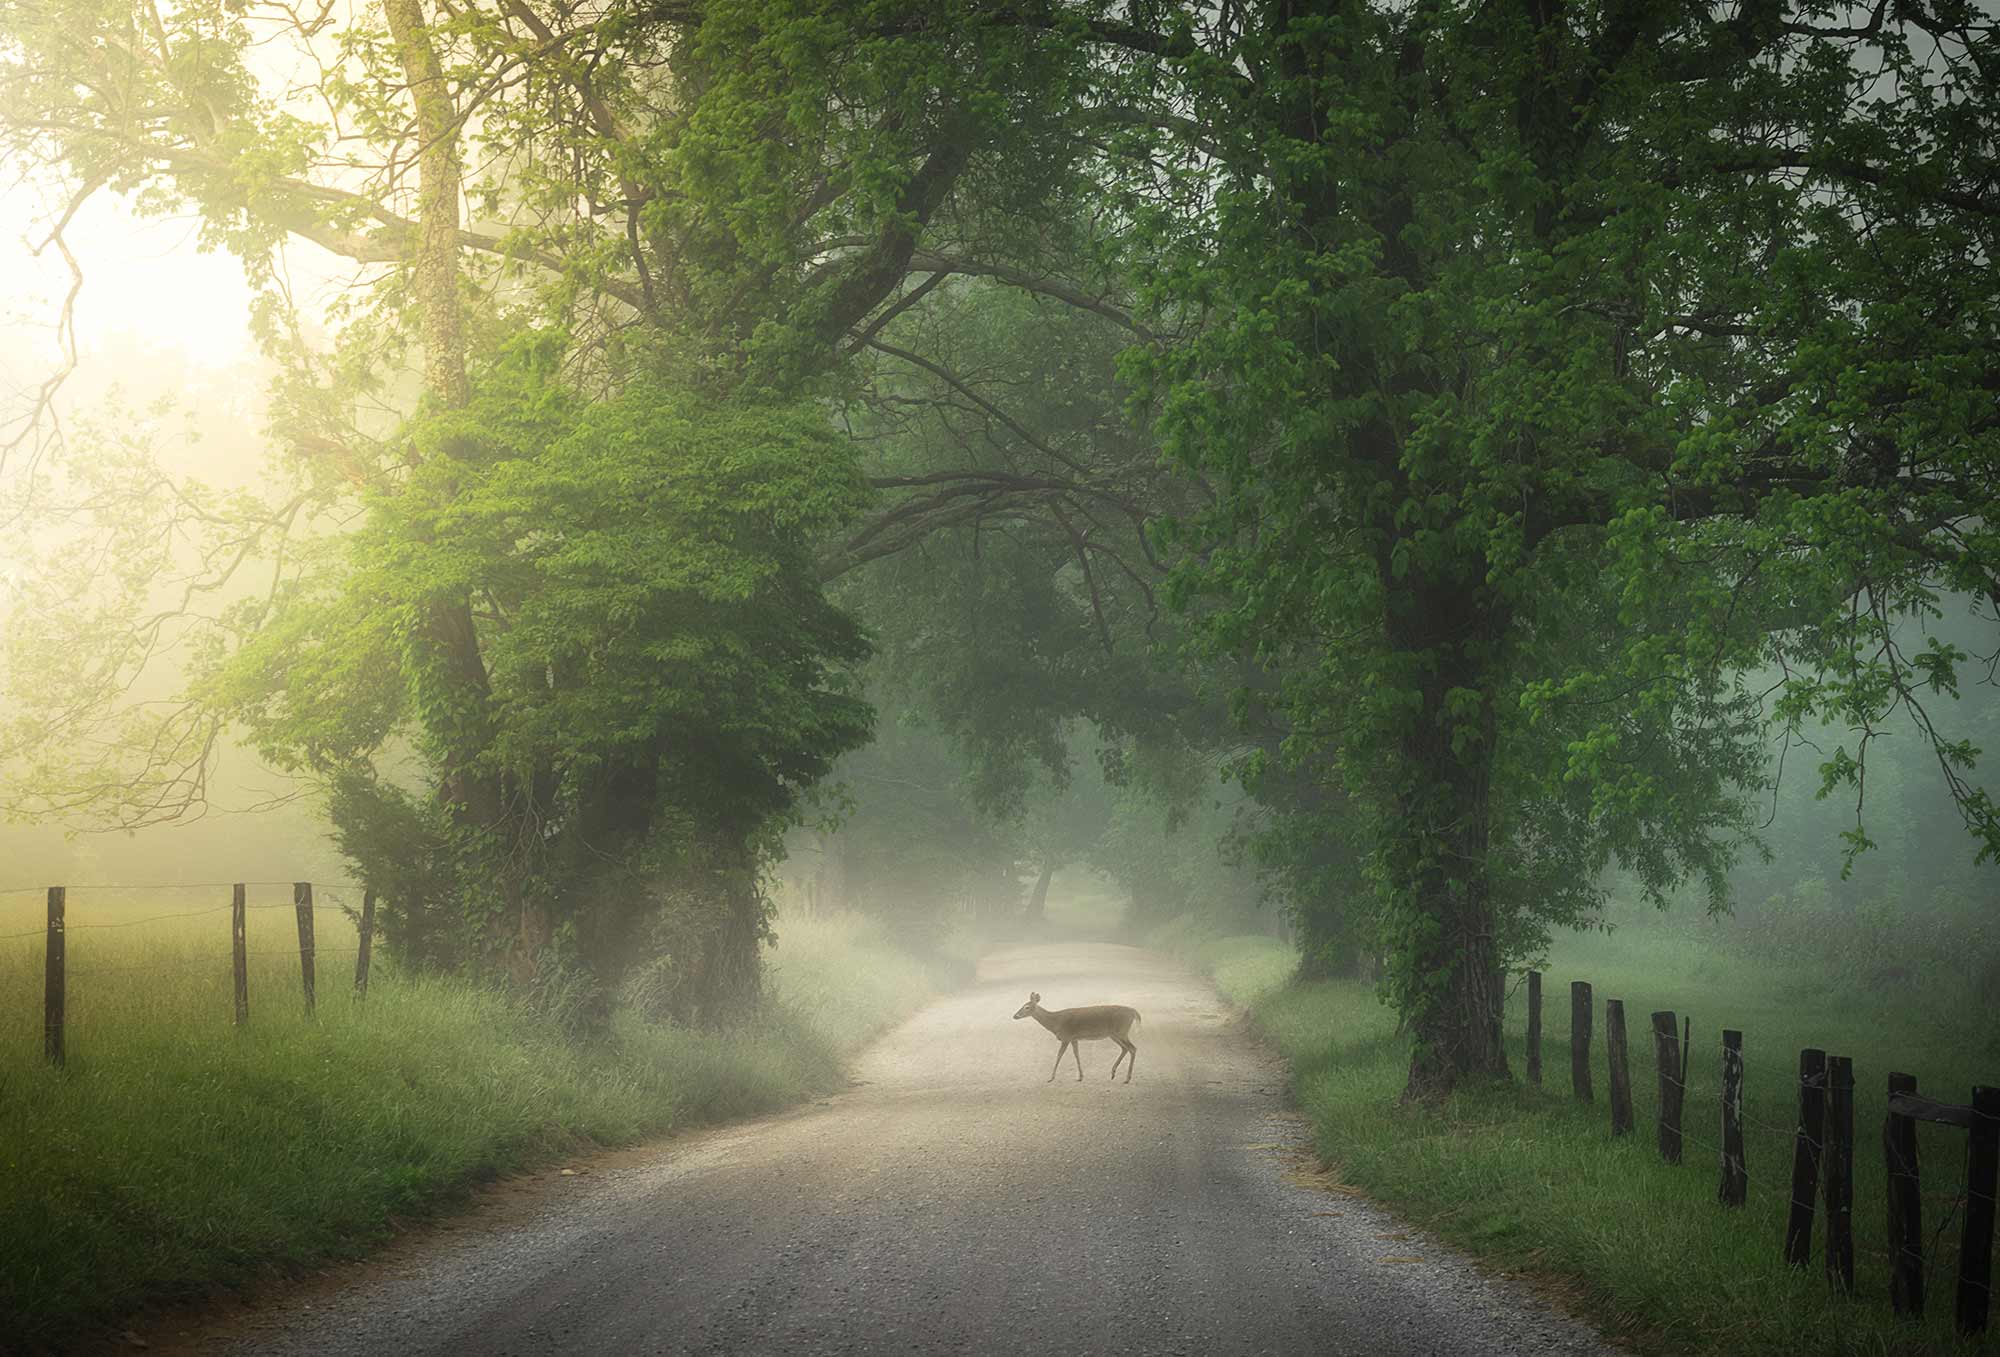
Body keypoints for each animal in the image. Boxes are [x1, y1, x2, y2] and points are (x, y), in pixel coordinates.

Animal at [1012, 991, 1142, 1083]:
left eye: (1026, 1007)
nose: (1015, 1016)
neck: (1055, 1022)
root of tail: (1134, 1012)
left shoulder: (1066, 1037)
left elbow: (1059, 1055)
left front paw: (1051, 1077)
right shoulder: (1074, 1038)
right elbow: (1076, 1054)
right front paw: (1080, 1076)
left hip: (1121, 1031)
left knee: (1133, 1048)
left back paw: (1127, 1078)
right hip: (1114, 1034)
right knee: (1125, 1048)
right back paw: (1113, 1073)